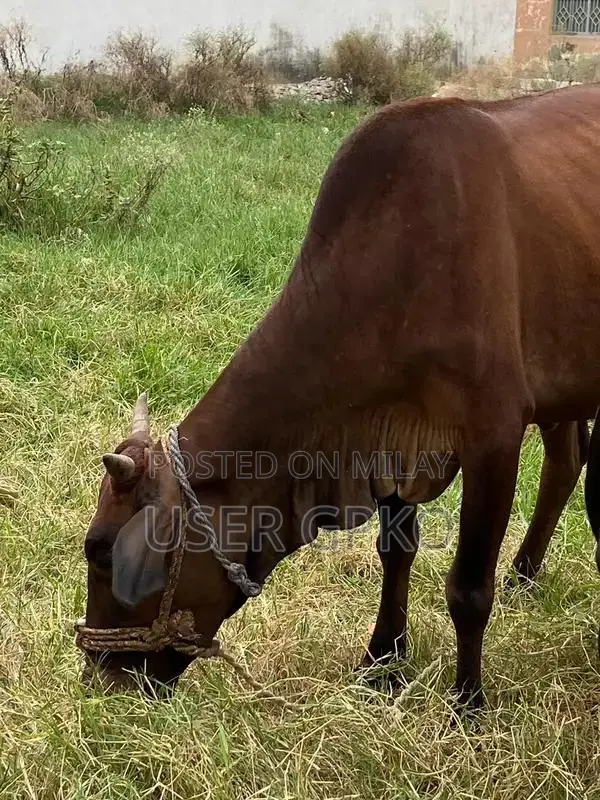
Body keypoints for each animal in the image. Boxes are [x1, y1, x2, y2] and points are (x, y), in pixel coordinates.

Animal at [78, 84, 600, 711]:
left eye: (102, 550)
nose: (98, 678)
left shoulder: (493, 436)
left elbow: (469, 588)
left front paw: (467, 703)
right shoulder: (392, 439)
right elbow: (396, 551)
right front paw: (382, 660)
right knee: (567, 460)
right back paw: (524, 572)